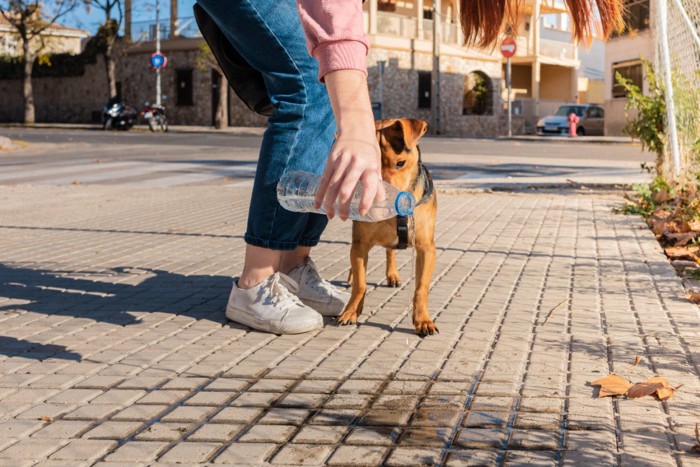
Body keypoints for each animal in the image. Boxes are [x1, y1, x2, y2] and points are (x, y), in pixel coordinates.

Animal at [338, 117, 438, 336]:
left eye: (400, 163)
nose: (382, 197)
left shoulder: (426, 247)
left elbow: (421, 288)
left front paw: (423, 320)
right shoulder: (360, 244)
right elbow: (360, 283)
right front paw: (351, 311)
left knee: (390, 252)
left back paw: (392, 275)